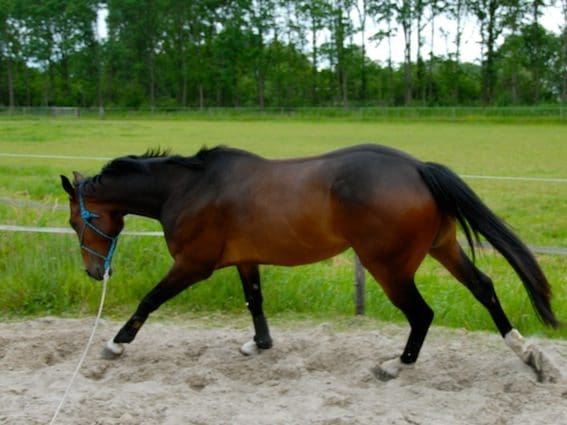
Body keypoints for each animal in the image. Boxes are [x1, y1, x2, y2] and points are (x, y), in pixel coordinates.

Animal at [61, 144, 560, 380]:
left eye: (75, 221)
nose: (94, 271)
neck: (189, 189)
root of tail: (418, 168)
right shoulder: (245, 260)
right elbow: (255, 301)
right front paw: (259, 345)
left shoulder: (192, 264)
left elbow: (149, 300)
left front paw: (115, 344)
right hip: (443, 247)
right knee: (484, 287)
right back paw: (527, 354)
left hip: (388, 266)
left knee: (422, 313)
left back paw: (395, 366)